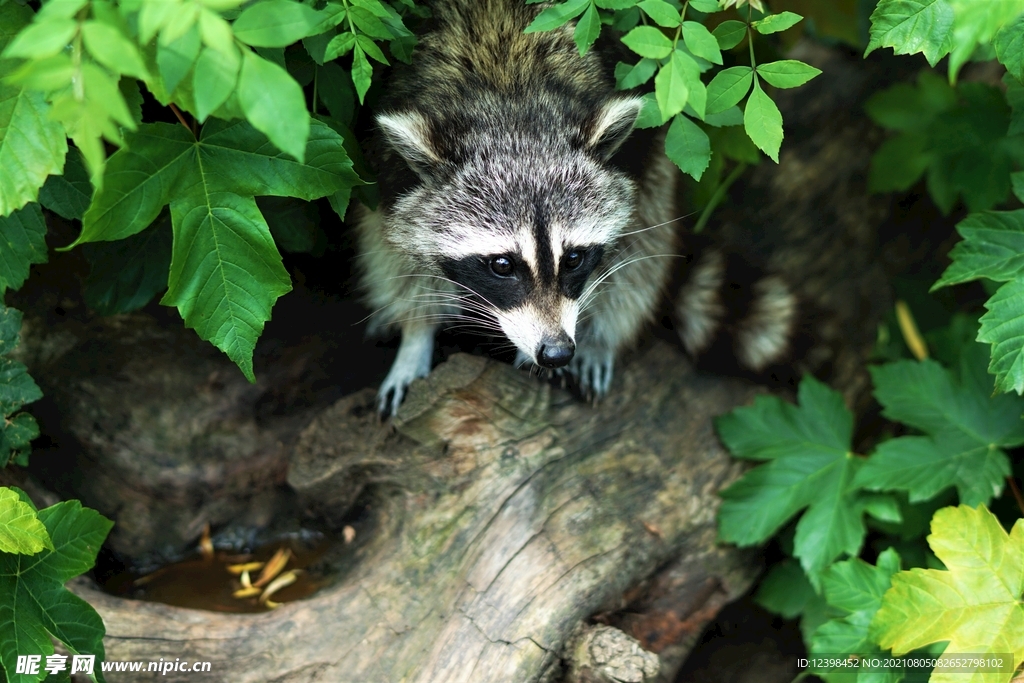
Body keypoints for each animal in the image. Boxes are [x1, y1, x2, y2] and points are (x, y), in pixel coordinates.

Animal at [356, 0, 794, 417]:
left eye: (574, 259)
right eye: (502, 265)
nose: (556, 351)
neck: (509, 104)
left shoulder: (632, 157)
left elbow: (635, 248)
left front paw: (596, 337)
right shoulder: (389, 174)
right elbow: (395, 256)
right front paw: (416, 337)